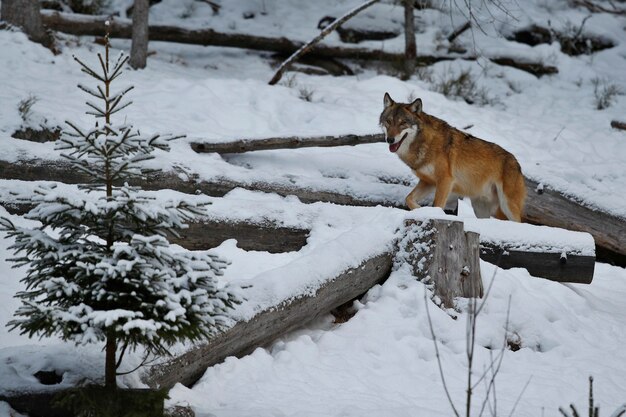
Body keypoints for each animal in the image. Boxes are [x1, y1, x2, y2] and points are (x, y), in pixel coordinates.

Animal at [378, 91, 524, 221]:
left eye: (402, 123)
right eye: (388, 121)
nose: (390, 139)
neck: (424, 143)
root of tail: (517, 163)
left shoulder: (445, 180)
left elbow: (437, 205)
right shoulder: (428, 182)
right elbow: (408, 198)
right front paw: (420, 210)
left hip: (507, 206)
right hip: (481, 208)